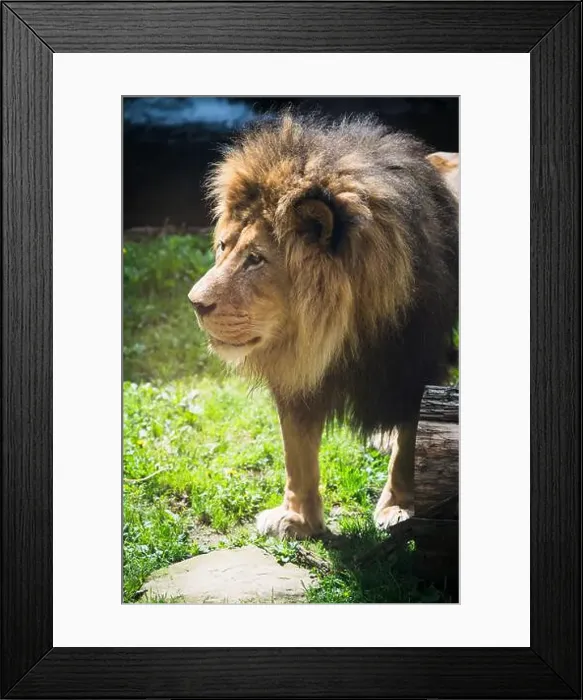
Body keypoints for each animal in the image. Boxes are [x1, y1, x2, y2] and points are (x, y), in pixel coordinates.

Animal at [188, 113, 458, 538]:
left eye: (255, 259)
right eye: (223, 247)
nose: (195, 303)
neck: (336, 330)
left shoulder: (414, 366)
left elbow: (411, 441)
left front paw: (399, 508)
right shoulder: (297, 368)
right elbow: (296, 452)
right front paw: (297, 519)